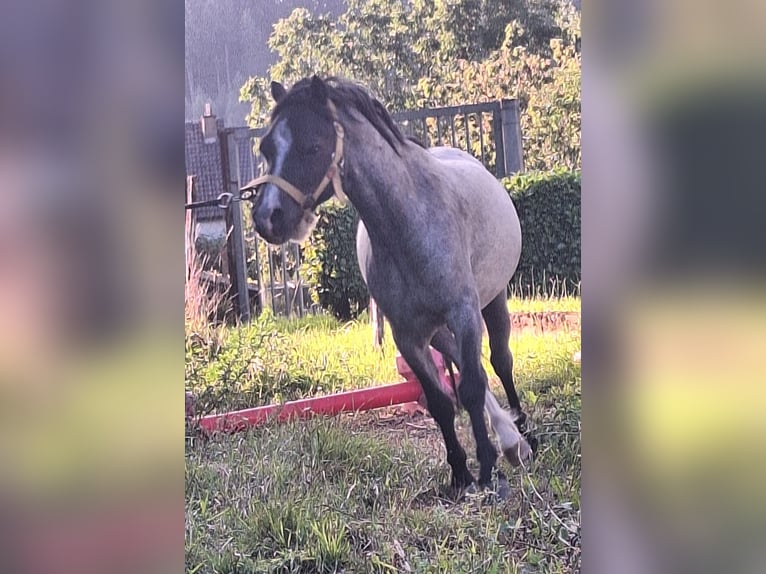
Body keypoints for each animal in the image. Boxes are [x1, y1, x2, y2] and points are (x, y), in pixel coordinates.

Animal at [242, 75, 534, 494]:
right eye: (266, 147)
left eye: (313, 145)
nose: (268, 218)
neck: (408, 222)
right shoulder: (407, 334)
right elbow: (441, 401)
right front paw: (460, 474)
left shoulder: (463, 312)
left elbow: (473, 386)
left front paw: (487, 467)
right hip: (436, 330)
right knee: (466, 365)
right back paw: (509, 436)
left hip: (491, 301)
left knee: (499, 360)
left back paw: (520, 436)